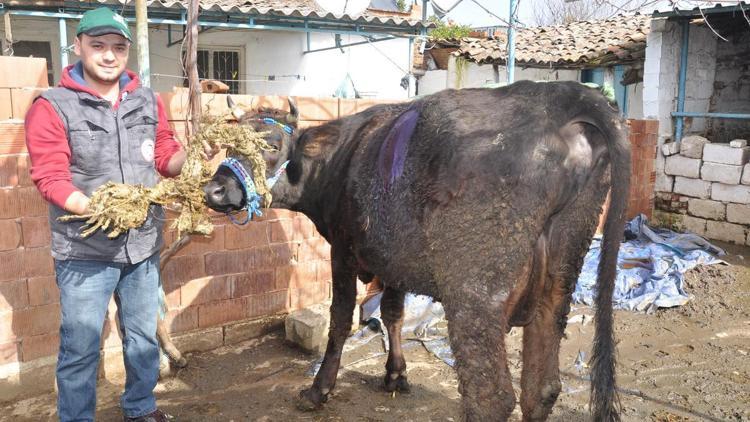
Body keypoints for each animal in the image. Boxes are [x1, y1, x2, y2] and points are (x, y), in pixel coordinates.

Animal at [204, 80, 628, 422]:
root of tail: (560, 95)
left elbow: (341, 319)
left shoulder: (342, 248)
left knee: (491, 397)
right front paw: (395, 374)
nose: (214, 191)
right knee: (540, 388)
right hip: (561, 273)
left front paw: (319, 389)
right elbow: (393, 313)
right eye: (228, 146)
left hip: (476, 290)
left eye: (272, 146)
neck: (338, 160)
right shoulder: (393, 257)